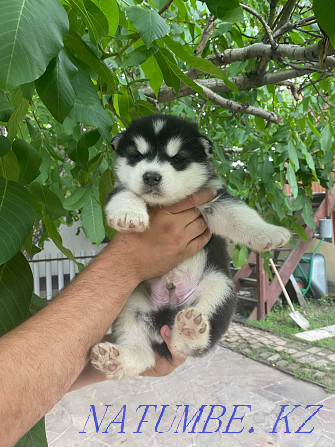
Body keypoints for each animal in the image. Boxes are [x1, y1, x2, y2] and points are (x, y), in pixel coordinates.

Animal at [91, 114, 292, 380]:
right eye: (136, 156)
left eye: (177, 160)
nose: (151, 176)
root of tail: (168, 313)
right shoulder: (119, 188)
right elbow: (126, 195)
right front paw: (128, 215)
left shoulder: (214, 199)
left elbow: (240, 215)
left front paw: (270, 233)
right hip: (130, 302)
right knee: (143, 353)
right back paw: (116, 359)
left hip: (219, 288)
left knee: (187, 344)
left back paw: (190, 330)